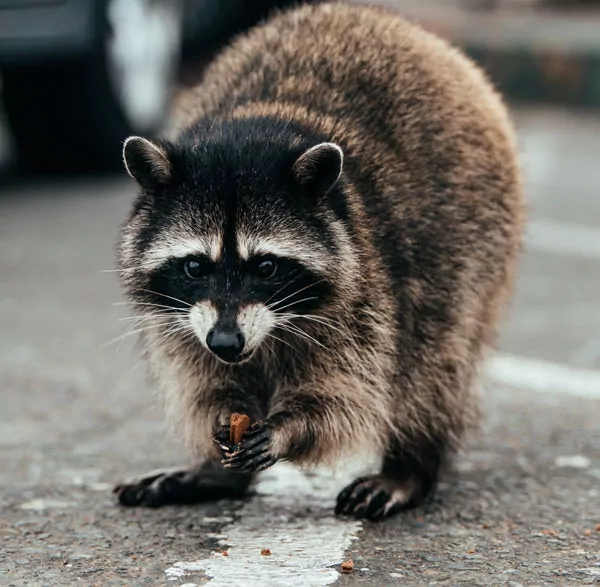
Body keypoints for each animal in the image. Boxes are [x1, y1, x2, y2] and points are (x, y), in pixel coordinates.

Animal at [113, 2, 524, 520]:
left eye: (266, 267)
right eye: (195, 267)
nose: (226, 341)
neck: (257, 123)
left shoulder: (364, 291)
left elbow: (345, 397)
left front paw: (290, 427)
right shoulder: (180, 319)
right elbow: (200, 377)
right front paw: (222, 416)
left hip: (473, 232)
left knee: (433, 358)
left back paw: (410, 466)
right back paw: (217, 473)